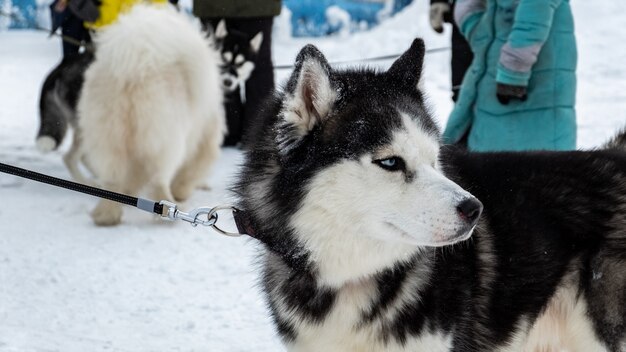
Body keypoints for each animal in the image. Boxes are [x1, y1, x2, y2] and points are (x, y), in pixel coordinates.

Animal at [77, 4, 224, 226]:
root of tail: (132, 70)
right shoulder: (203, 141)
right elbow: (192, 171)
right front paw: (182, 191)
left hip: (107, 134)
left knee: (112, 179)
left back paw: (106, 216)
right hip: (164, 138)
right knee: (158, 178)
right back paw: (169, 211)